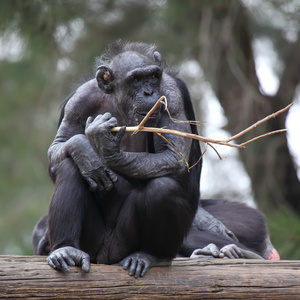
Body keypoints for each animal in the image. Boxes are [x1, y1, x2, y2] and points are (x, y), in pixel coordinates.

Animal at [32, 40, 278, 278]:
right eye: (136, 79)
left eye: (152, 76)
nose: (149, 92)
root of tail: (106, 258)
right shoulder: (79, 101)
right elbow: (60, 145)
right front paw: (85, 149)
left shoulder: (171, 95)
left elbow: (173, 155)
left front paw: (105, 149)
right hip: (93, 246)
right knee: (70, 165)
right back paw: (66, 249)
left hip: (124, 244)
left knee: (163, 187)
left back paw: (153, 256)